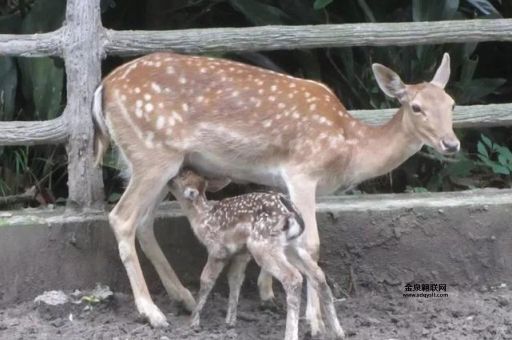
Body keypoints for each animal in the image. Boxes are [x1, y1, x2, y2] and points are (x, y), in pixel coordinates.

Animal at [93, 51, 460, 334]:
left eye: (452, 104)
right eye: (416, 107)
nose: (452, 144)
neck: (348, 149)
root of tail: (102, 88)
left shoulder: (280, 182)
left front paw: (267, 294)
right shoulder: (302, 171)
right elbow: (311, 245)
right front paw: (313, 322)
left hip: (155, 163)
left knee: (144, 222)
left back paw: (182, 297)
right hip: (153, 155)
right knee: (122, 217)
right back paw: (152, 313)